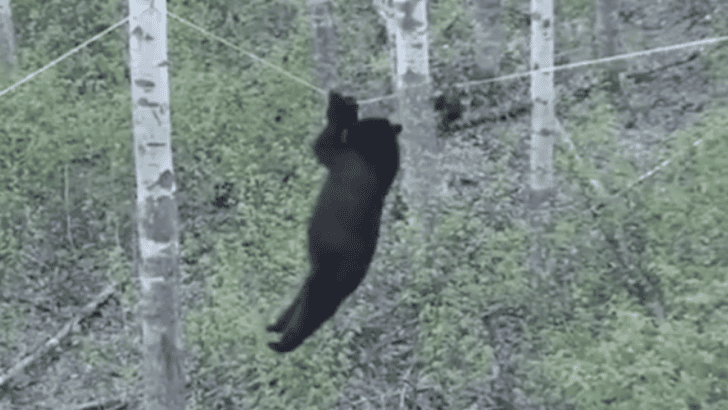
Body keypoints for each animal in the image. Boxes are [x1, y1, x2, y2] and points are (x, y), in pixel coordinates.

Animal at [266, 91, 402, 353]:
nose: (355, 104)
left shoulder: (349, 160)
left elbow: (324, 147)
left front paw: (341, 107)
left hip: (329, 273)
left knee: (311, 307)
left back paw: (282, 342)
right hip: (325, 277)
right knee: (307, 304)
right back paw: (276, 325)